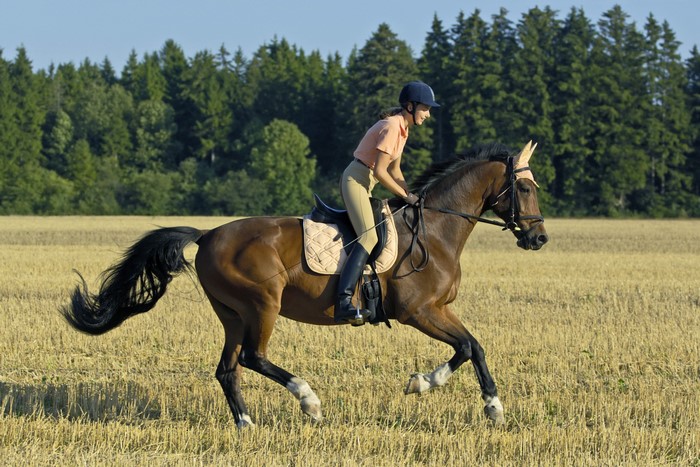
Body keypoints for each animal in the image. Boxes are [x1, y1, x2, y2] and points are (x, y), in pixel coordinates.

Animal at [61, 141, 548, 428]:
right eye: (525, 189)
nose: (539, 238)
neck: (435, 229)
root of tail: (207, 234)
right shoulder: (419, 312)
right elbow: (467, 347)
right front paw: (436, 388)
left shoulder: (440, 310)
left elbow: (474, 347)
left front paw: (488, 406)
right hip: (263, 303)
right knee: (254, 357)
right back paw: (309, 401)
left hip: (232, 314)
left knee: (228, 368)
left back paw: (246, 425)